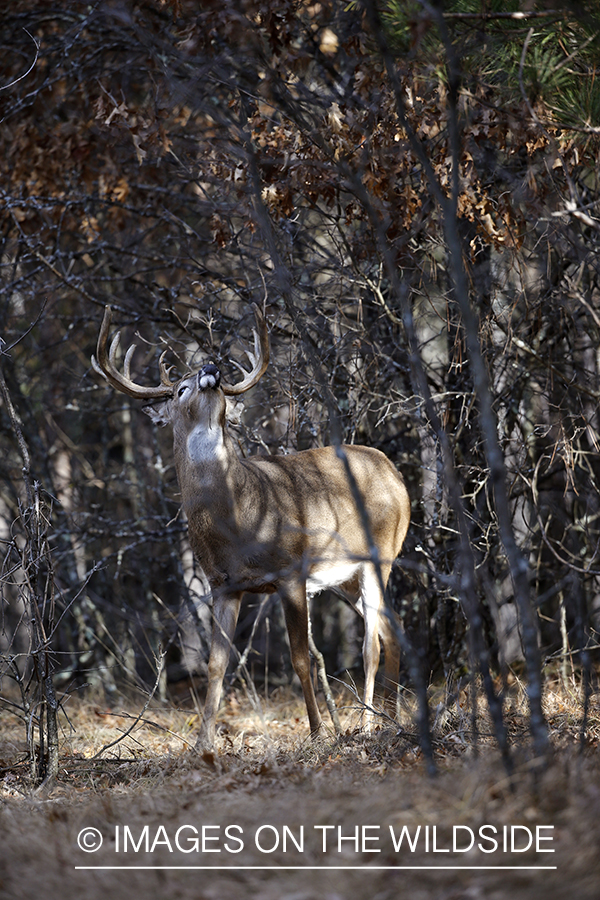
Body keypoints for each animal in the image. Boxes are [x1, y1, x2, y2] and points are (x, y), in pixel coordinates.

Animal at [92, 306, 412, 748]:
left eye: (221, 387)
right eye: (180, 389)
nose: (211, 367)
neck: (238, 523)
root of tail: (395, 472)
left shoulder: (291, 572)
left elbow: (300, 658)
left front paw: (316, 732)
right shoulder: (223, 586)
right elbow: (215, 664)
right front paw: (203, 743)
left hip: (380, 554)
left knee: (371, 645)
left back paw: (368, 724)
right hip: (346, 578)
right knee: (390, 633)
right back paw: (388, 719)